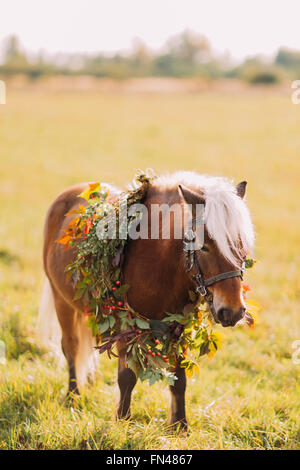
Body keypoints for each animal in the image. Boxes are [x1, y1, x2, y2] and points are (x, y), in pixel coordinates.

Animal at [38, 173, 254, 430]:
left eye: (243, 245)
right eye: (204, 246)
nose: (233, 311)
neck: (158, 261)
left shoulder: (179, 326)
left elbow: (179, 378)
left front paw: (180, 427)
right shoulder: (126, 325)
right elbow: (127, 377)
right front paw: (122, 421)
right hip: (62, 301)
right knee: (70, 347)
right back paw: (74, 396)